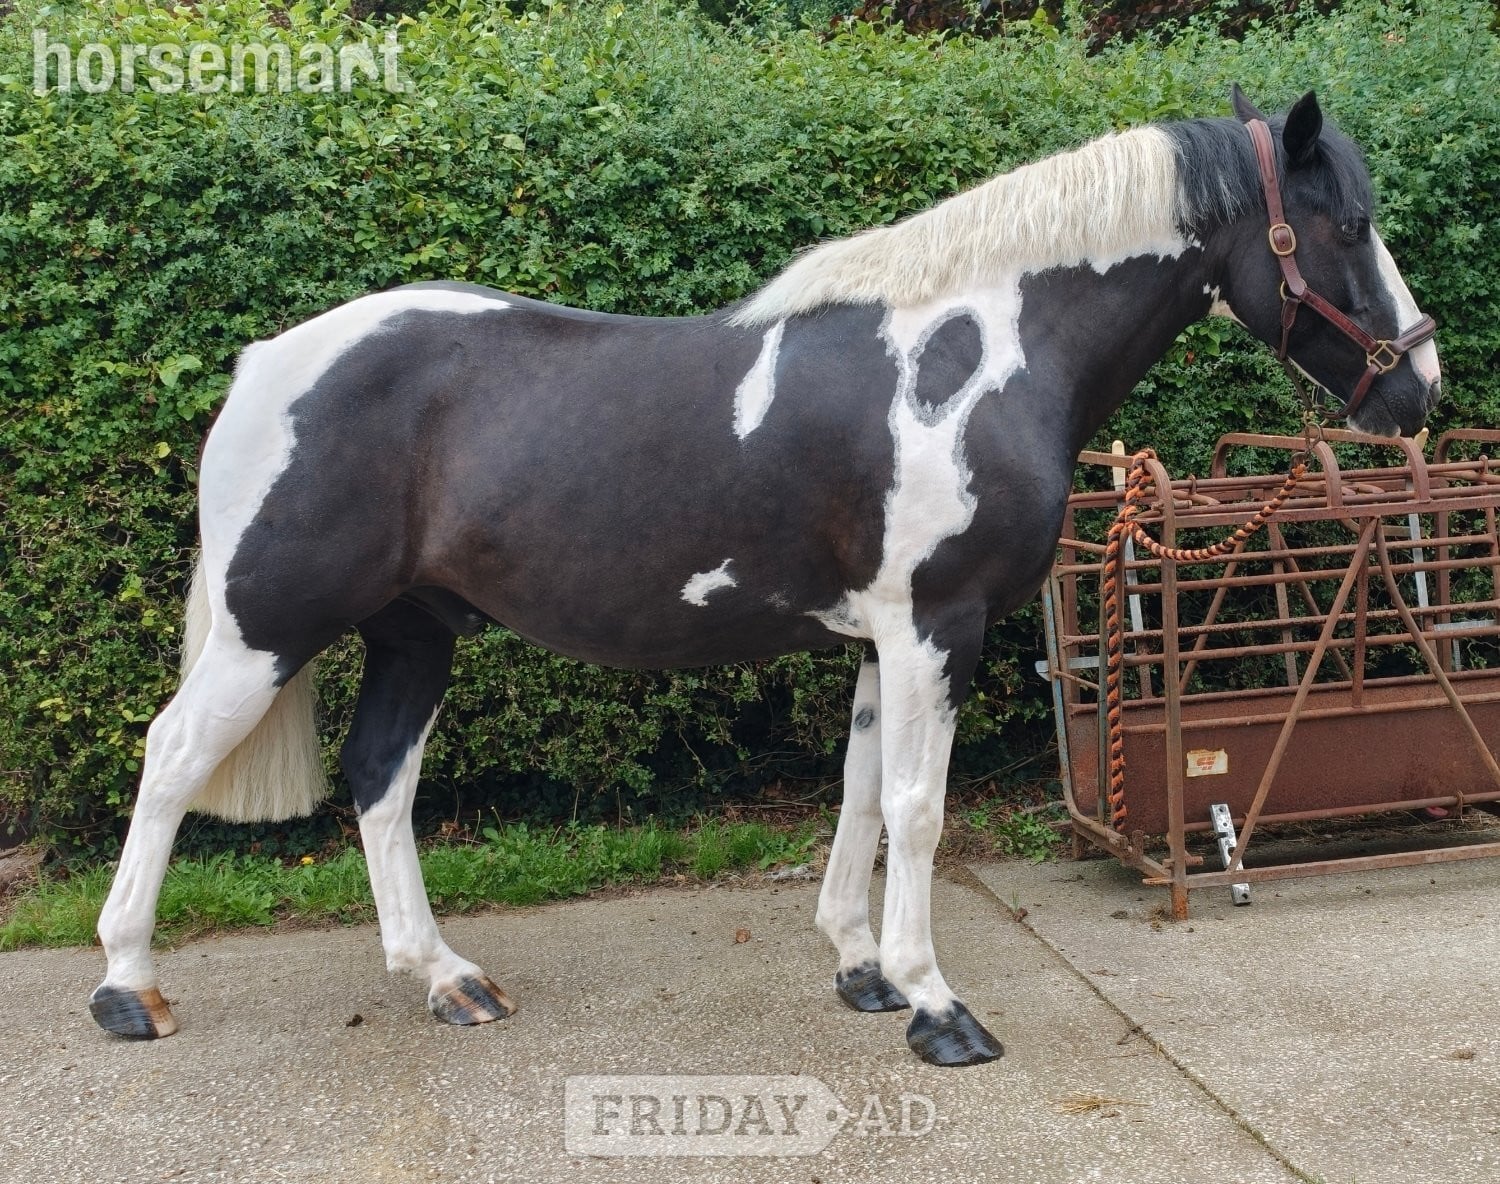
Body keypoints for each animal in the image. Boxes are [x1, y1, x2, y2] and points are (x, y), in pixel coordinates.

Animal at [90, 86, 1440, 1066]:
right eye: (1347, 226)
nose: (1419, 389)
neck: (977, 352)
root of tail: (267, 361)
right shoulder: (936, 626)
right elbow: (919, 809)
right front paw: (935, 1003)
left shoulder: (878, 638)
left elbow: (859, 796)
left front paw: (859, 966)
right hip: (269, 627)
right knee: (171, 757)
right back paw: (128, 985)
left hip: (414, 630)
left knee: (380, 781)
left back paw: (447, 978)